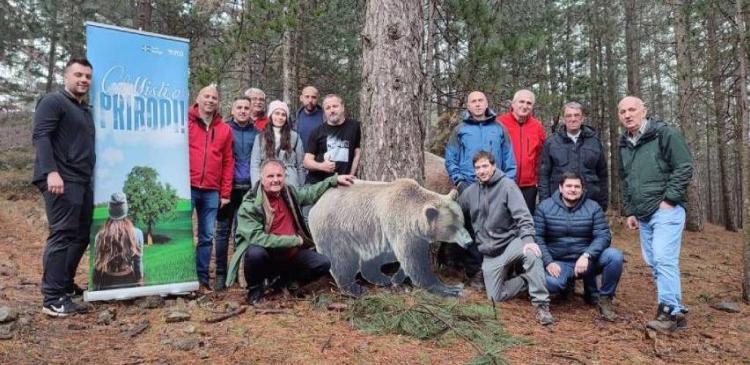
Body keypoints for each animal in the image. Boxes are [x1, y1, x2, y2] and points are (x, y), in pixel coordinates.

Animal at [308, 178, 472, 296]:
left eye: (462, 221)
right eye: (452, 227)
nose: (469, 242)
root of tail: (316, 204)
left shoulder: (390, 235)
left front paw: (395, 278)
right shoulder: (401, 228)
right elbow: (414, 260)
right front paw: (449, 288)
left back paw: (381, 278)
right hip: (336, 230)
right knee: (341, 260)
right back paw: (353, 288)